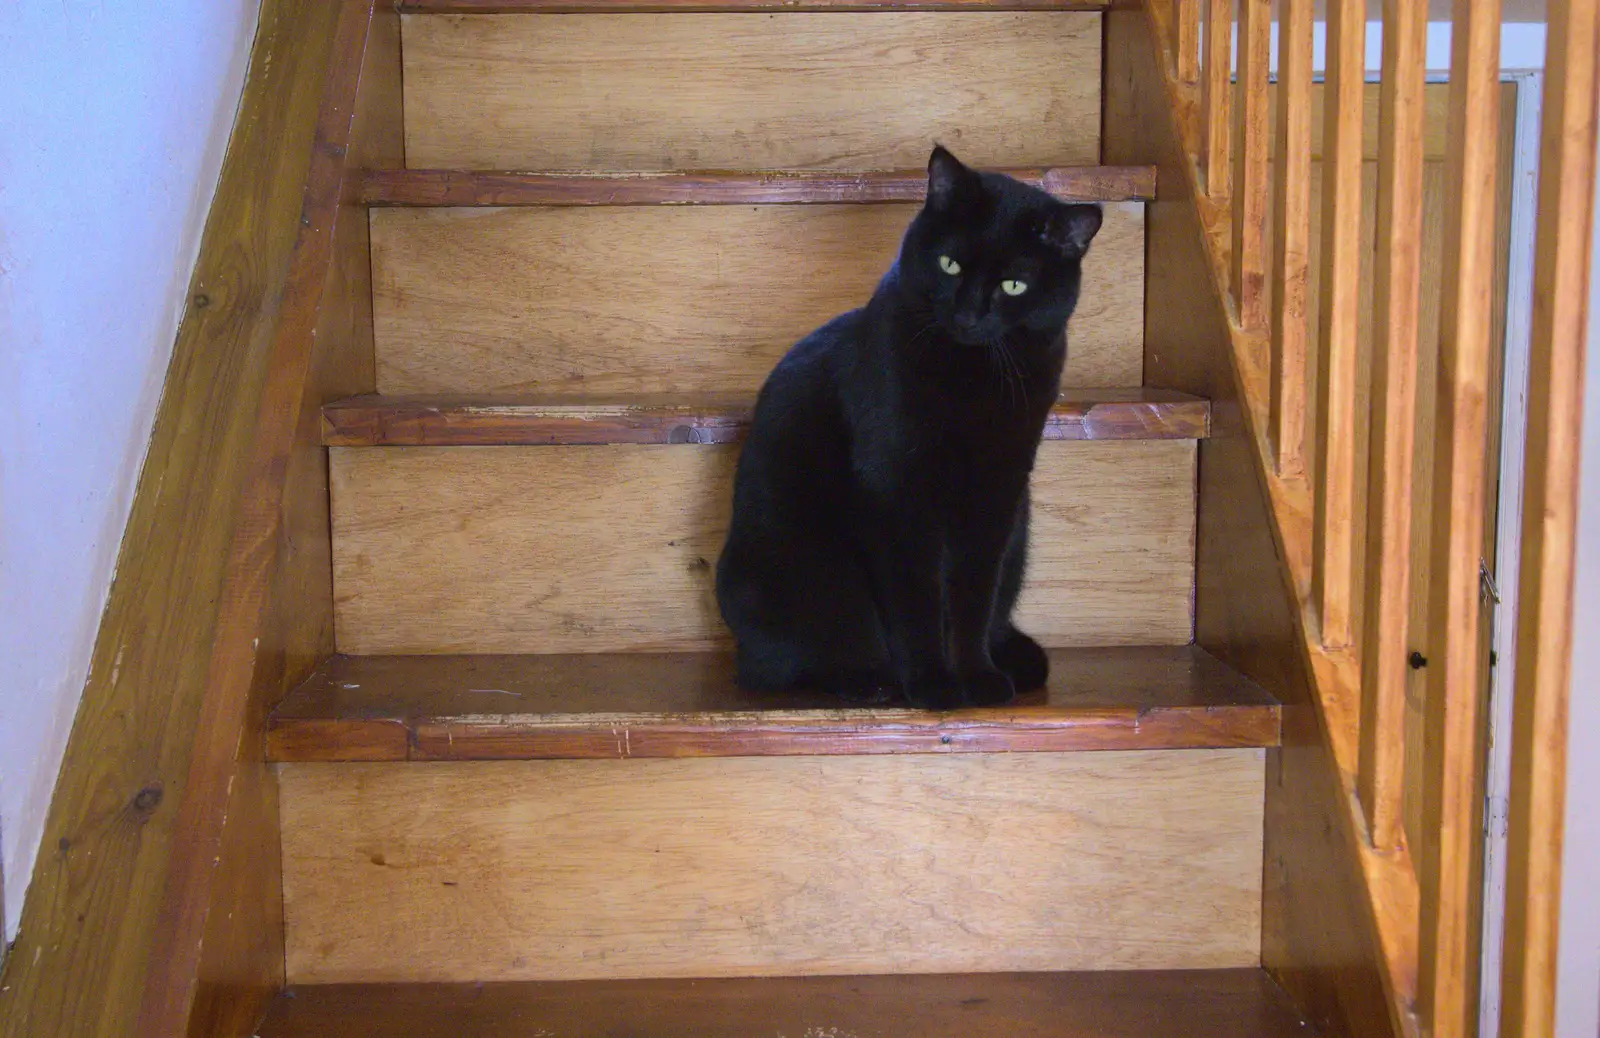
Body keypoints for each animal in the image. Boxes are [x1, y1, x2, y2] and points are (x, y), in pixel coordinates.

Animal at [720, 145, 1107, 706]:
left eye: (1014, 284)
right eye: (950, 264)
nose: (967, 316)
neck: (971, 379)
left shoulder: (997, 493)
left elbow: (972, 600)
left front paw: (978, 677)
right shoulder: (898, 492)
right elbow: (917, 601)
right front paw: (933, 685)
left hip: (1020, 530)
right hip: (803, 575)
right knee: (789, 663)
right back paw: (870, 680)